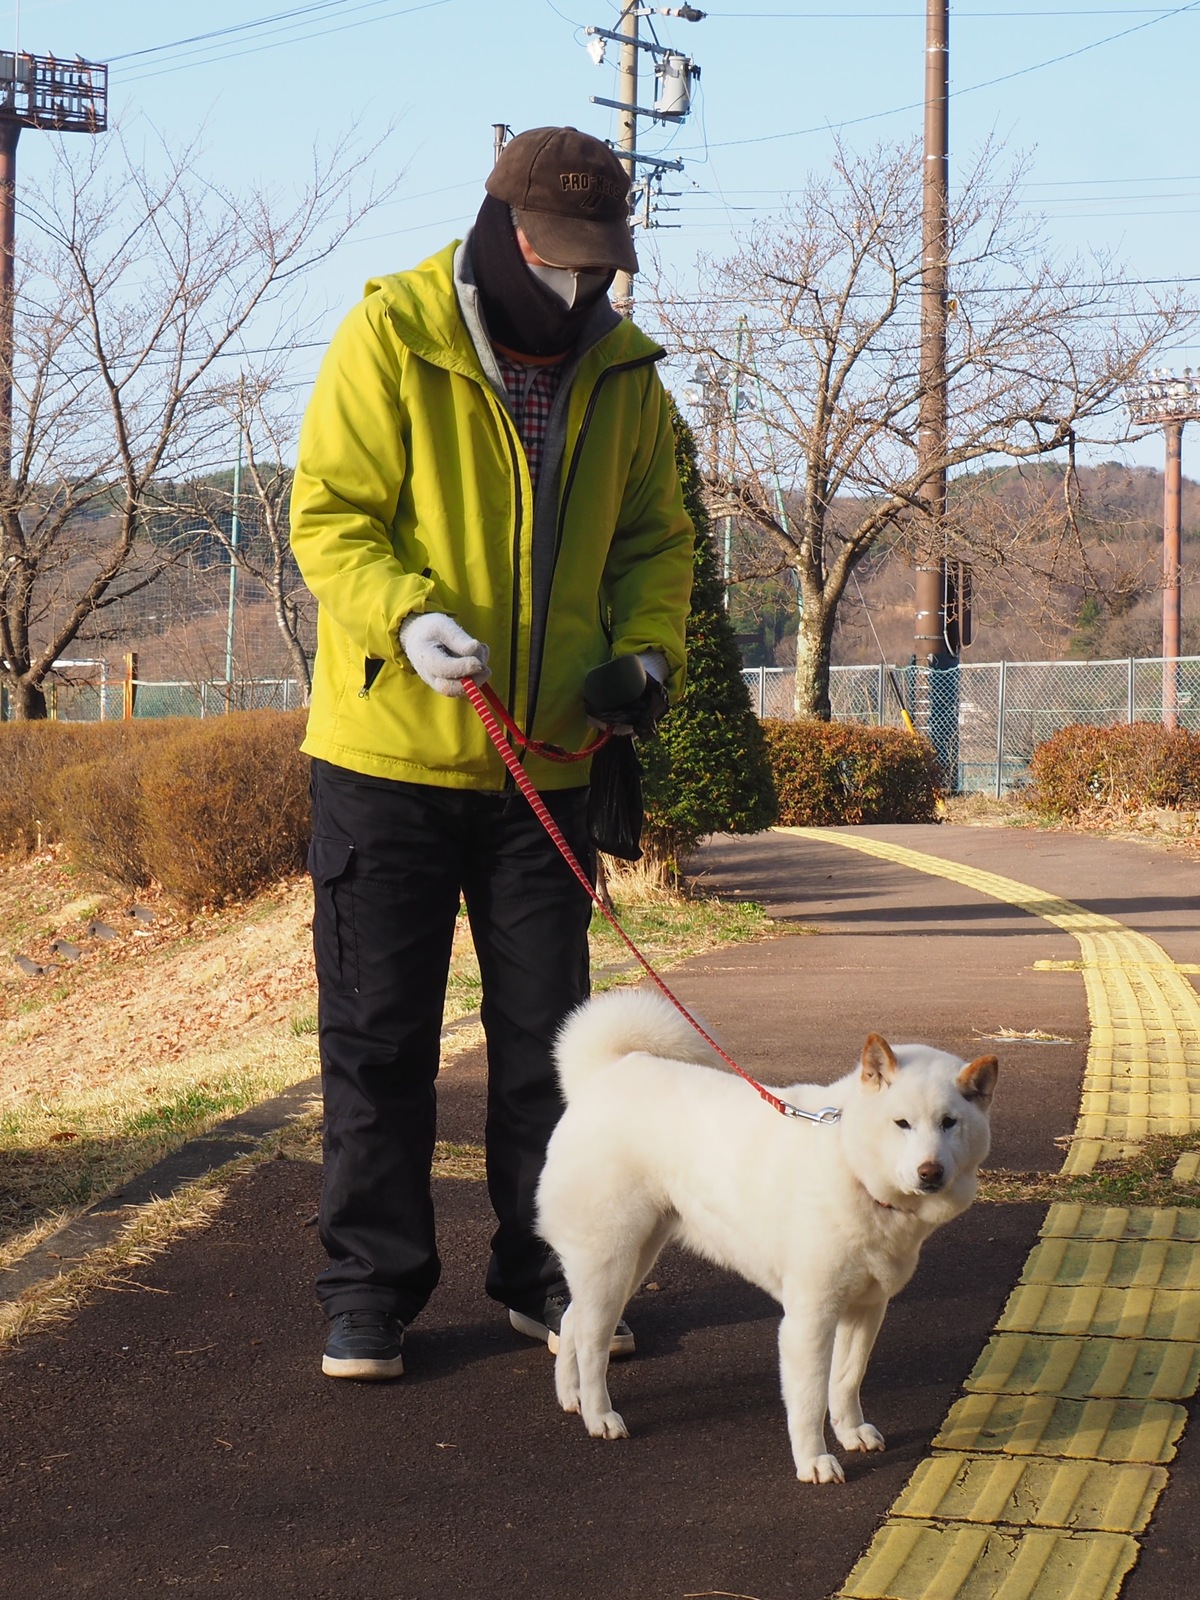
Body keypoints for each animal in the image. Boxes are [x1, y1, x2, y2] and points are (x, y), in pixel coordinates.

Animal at [540, 985, 998, 1484]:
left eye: (949, 1122)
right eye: (902, 1124)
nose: (930, 1172)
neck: (851, 1168)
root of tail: (602, 1075)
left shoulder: (866, 1308)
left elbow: (846, 1382)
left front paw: (851, 1433)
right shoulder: (809, 1318)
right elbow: (810, 1400)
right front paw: (814, 1461)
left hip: (629, 1262)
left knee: (573, 1323)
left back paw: (571, 1397)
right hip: (612, 1258)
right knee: (592, 1341)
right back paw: (599, 1415)